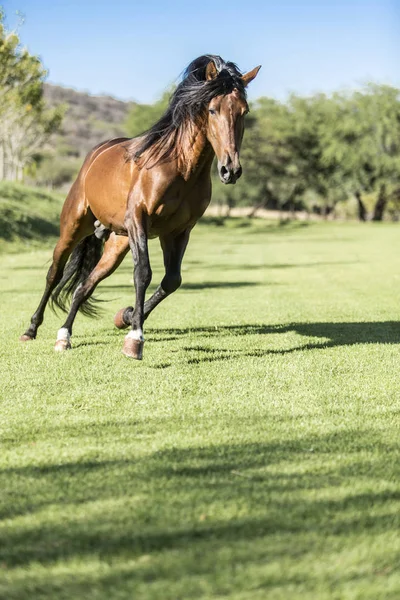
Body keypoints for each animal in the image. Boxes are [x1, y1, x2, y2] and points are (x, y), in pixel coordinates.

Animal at [20, 54, 260, 358]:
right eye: (213, 110)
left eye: (244, 111)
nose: (231, 170)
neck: (181, 168)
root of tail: (96, 153)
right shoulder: (139, 220)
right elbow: (143, 273)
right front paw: (135, 338)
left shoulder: (178, 232)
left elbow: (171, 281)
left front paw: (127, 316)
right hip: (74, 226)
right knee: (55, 274)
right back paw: (31, 329)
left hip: (118, 243)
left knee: (84, 286)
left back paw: (64, 336)